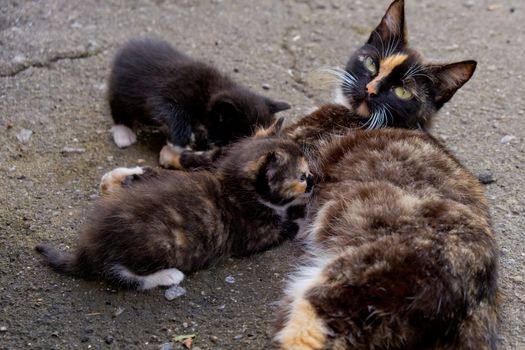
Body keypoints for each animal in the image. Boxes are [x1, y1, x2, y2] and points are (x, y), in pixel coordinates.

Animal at [35, 120, 312, 292]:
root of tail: (90, 245)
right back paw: (169, 275)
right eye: (301, 177)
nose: (314, 181)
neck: (233, 186)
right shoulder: (255, 235)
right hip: (158, 244)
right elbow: (290, 227)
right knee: (120, 276)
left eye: (307, 172)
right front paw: (303, 217)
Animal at [108, 39, 288, 167]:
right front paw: (180, 143)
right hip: (121, 89)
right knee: (118, 108)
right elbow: (169, 110)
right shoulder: (165, 93)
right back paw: (123, 132)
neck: (208, 93)